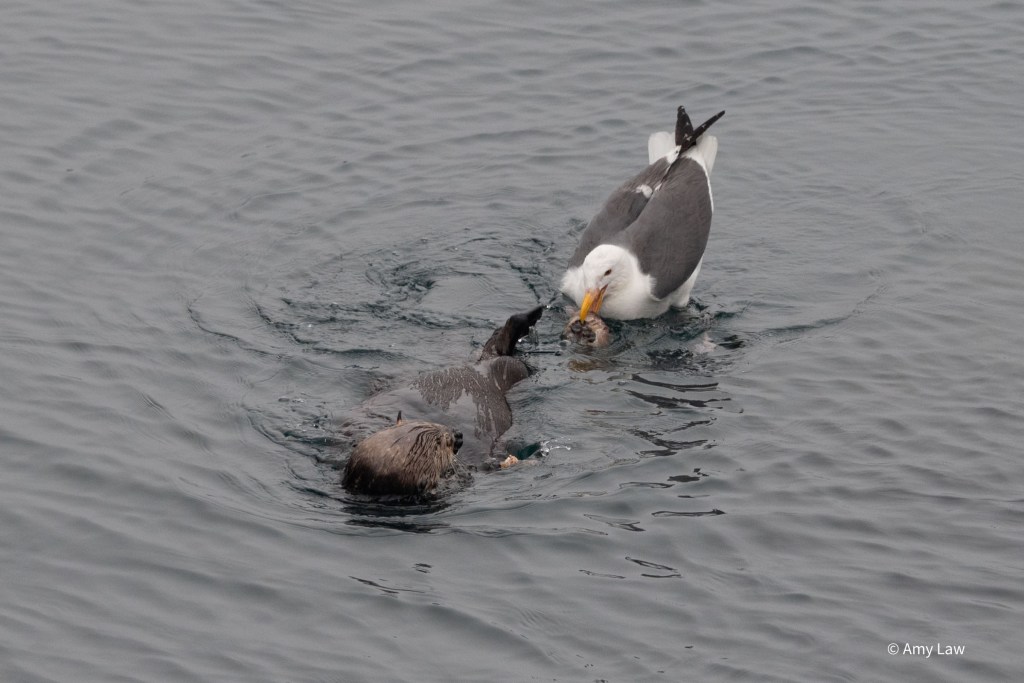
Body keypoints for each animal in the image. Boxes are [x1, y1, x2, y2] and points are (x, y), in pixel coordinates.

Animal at [340, 306, 543, 496]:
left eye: (429, 423)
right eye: (439, 444)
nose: (458, 434)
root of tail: (480, 367)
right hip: (509, 370)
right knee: (508, 352)